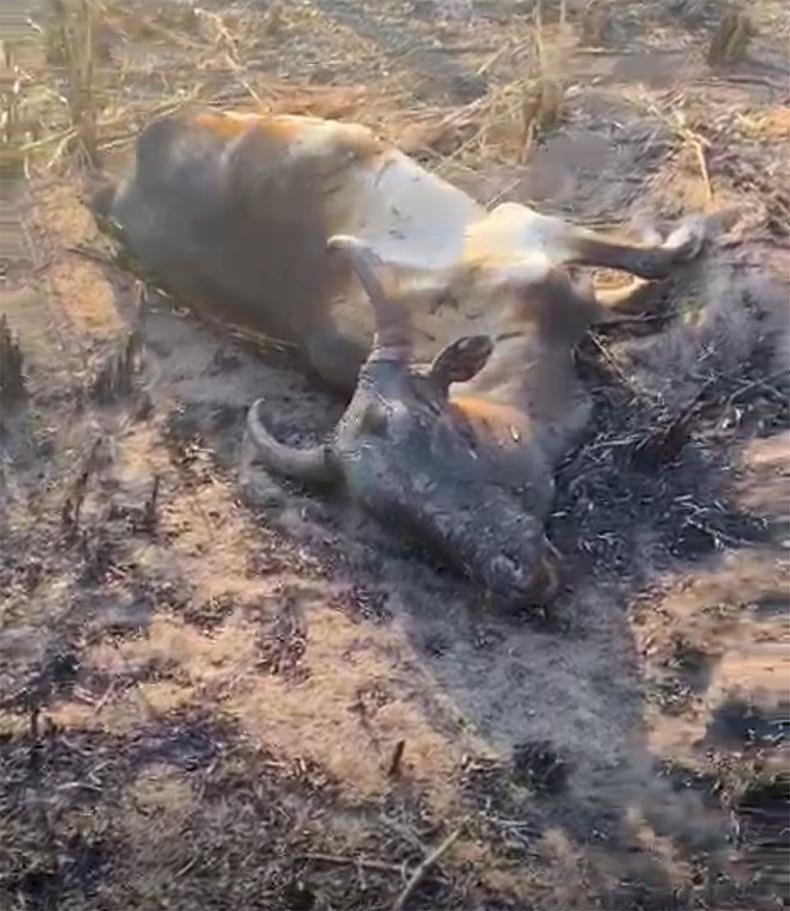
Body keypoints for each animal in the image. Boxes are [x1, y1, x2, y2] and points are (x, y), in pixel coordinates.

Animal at [91, 109, 708, 607]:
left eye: (454, 432)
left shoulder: (526, 228)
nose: (516, 579)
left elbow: (646, 263)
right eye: (402, 520)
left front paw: (685, 233)